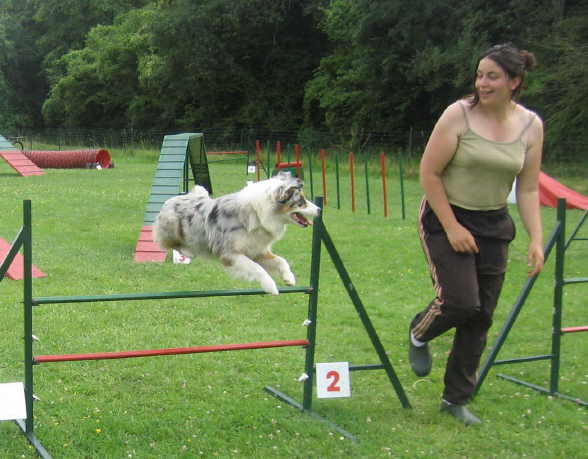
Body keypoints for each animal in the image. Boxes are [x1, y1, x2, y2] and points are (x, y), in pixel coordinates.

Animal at [150, 172, 316, 294]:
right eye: (301, 201)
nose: (319, 210)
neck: (257, 214)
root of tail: (176, 197)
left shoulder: (257, 250)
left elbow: (281, 261)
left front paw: (289, 278)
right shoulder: (229, 254)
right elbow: (257, 269)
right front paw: (271, 287)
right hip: (171, 225)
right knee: (168, 244)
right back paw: (186, 252)